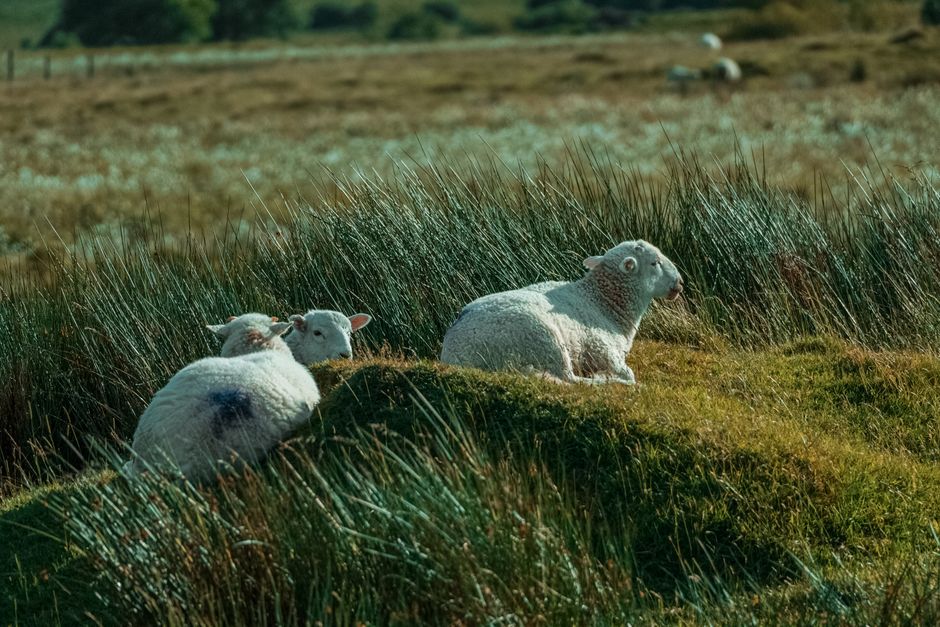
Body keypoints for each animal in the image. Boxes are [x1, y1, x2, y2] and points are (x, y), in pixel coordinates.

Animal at [440, 240, 683, 385]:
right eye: (655, 262)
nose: (680, 282)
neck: (603, 303)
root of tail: (454, 352)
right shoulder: (601, 348)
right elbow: (628, 372)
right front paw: (617, 377)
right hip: (544, 339)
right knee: (571, 379)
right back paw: (608, 382)